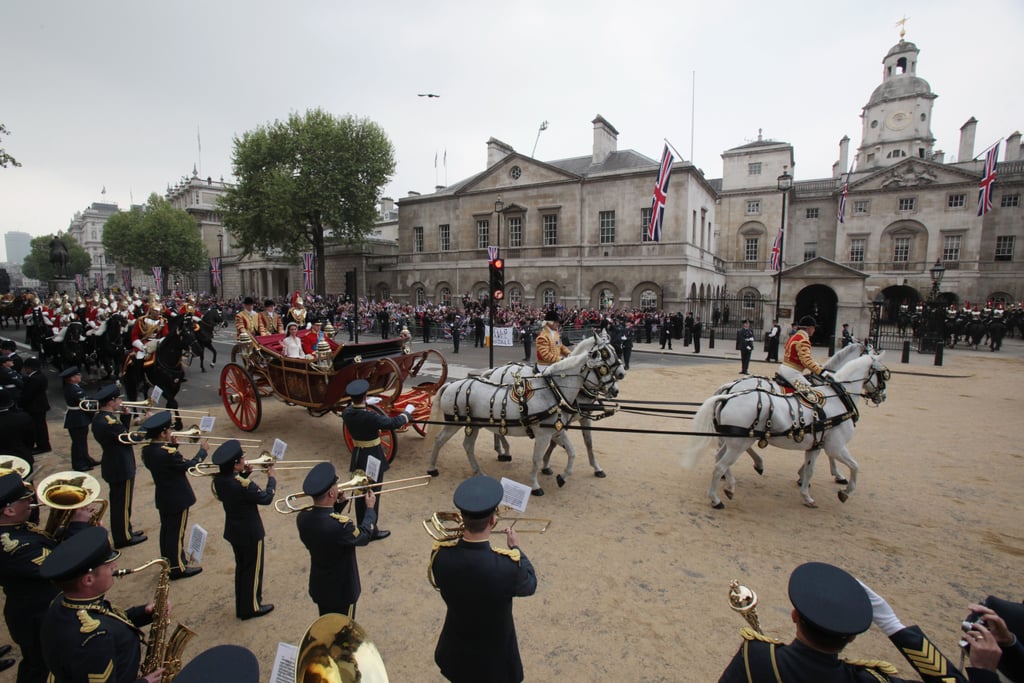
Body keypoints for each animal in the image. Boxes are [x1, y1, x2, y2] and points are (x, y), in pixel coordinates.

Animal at [423, 331, 622, 497]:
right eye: (604, 364)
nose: (616, 387)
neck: (553, 391)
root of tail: (452, 384)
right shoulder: (543, 434)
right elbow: (537, 458)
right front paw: (535, 485)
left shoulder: (557, 430)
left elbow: (573, 452)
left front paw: (562, 477)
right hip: (454, 423)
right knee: (439, 440)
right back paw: (432, 468)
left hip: (474, 425)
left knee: (468, 446)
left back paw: (480, 469)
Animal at [679, 344, 888, 509]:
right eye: (884, 375)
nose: (882, 397)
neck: (836, 396)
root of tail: (729, 392)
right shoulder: (834, 445)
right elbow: (853, 466)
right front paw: (842, 486)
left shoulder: (817, 443)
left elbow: (812, 468)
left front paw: (806, 488)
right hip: (741, 441)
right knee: (720, 464)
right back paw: (719, 497)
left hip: (740, 438)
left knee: (720, 456)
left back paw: (733, 481)